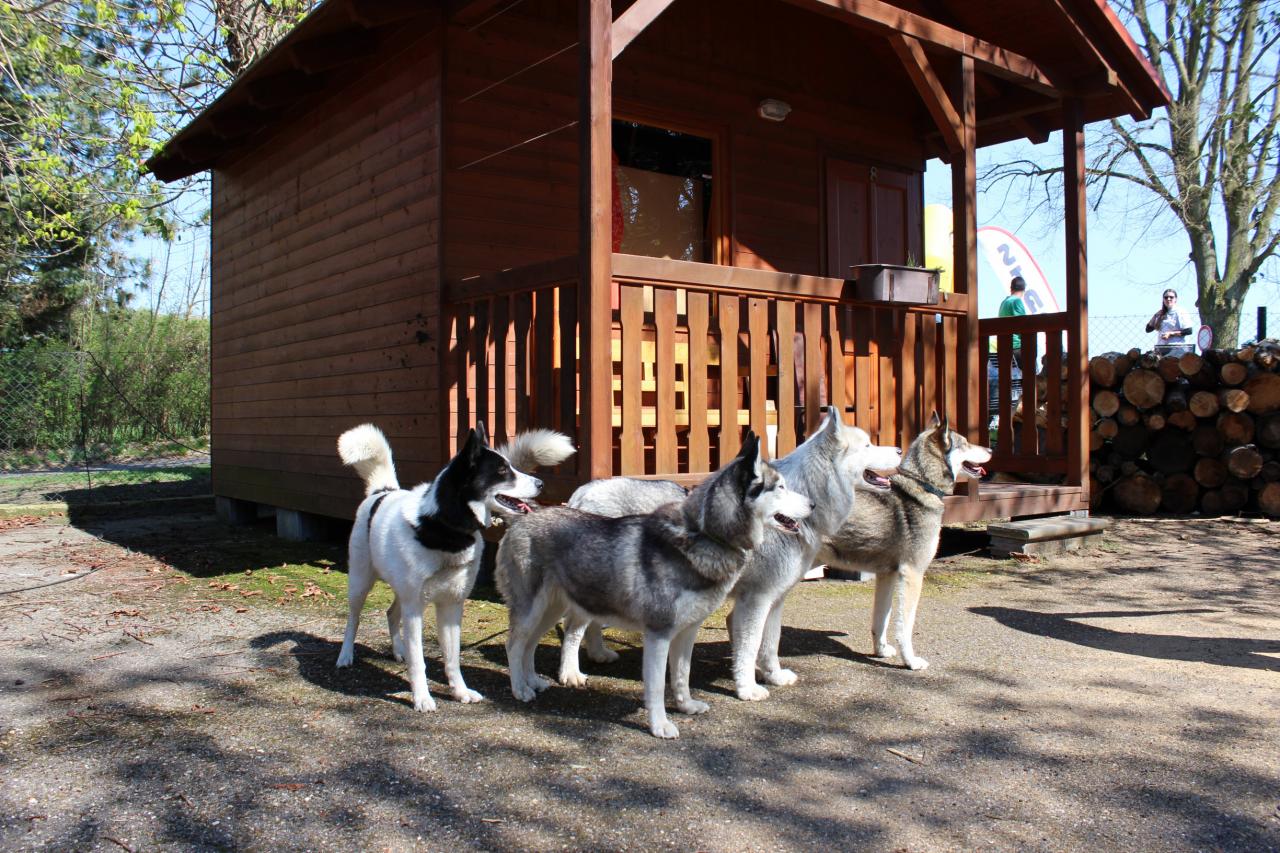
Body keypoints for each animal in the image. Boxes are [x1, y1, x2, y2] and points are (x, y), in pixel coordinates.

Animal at [335, 422, 571, 712]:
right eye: (503, 471)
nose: (541, 483)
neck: (446, 526)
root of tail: (383, 491)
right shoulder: (416, 610)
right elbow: (419, 661)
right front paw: (422, 698)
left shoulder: (451, 606)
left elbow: (452, 658)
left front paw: (460, 692)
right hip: (360, 581)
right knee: (353, 619)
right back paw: (346, 655)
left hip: (401, 592)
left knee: (392, 614)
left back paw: (399, 651)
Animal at [496, 432, 813, 738]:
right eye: (781, 487)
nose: (812, 504)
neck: (705, 536)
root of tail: (529, 514)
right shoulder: (658, 635)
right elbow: (658, 686)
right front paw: (660, 726)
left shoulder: (687, 631)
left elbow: (682, 675)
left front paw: (686, 706)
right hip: (531, 611)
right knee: (514, 645)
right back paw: (520, 688)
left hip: (549, 611)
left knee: (529, 646)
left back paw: (534, 681)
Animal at [567, 411, 902, 702]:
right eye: (868, 445)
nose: (899, 449)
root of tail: (583, 492)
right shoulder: (756, 600)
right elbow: (750, 647)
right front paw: (747, 688)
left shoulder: (775, 599)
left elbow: (770, 644)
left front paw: (773, 676)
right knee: (573, 628)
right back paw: (571, 674)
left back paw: (598, 654)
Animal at [815, 412, 991, 670]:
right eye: (966, 443)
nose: (990, 449)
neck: (921, 485)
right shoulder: (913, 574)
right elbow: (905, 627)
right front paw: (910, 661)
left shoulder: (886, 575)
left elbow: (881, 620)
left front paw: (881, 651)